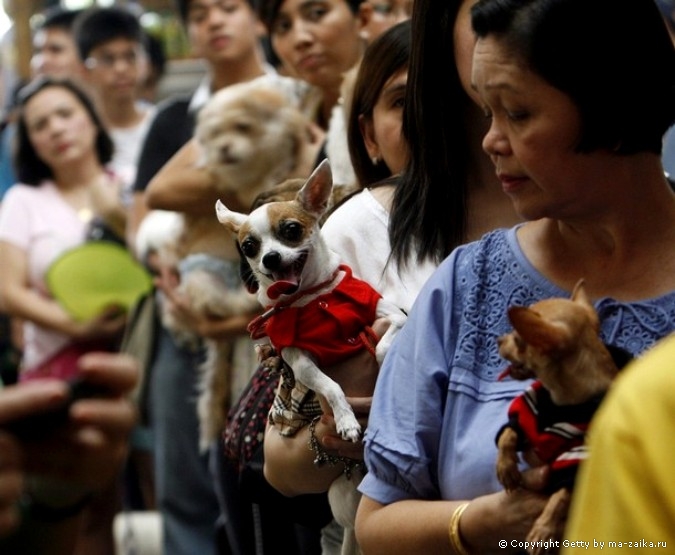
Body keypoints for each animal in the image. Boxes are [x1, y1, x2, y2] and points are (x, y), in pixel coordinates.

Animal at [496, 282, 624, 555]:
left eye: (519, 339)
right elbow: (510, 432)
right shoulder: (530, 411)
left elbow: (561, 495)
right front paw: (505, 466)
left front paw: (544, 528)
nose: (498, 339)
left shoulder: (578, 456)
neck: (560, 402)